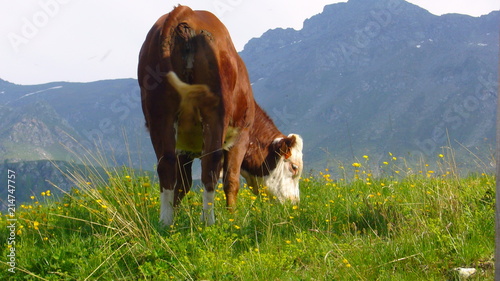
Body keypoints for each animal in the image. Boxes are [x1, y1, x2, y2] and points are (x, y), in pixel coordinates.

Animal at [136, 4, 304, 225]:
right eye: (294, 167)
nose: (295, 203)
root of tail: (185, 11)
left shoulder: (183, 147)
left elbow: (182, 185)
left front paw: (176, 218)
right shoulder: (240, 135)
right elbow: (231, 181)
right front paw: (233, 219)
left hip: (160, 116)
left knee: (166, 166)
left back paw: (165, 222)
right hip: (214, 116)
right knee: (210, 167)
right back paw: (209, 221)